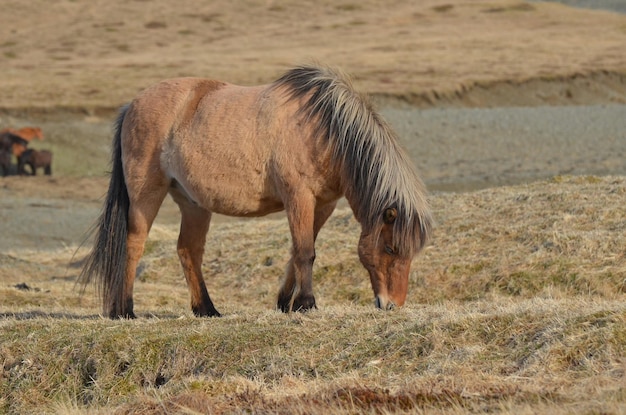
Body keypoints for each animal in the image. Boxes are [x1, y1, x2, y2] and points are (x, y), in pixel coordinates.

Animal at [78, 64, 432, 318]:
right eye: (391, 249)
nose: (392, 304)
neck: (326, 131)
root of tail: (130, 106)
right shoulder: (299, 197)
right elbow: (306, 251)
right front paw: (307, 303)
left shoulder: (323, 205)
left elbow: (298, 250)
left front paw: (285, 302)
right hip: (145, 195)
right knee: (134, 244)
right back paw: (124, 310)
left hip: (193, 203)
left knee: (188, 250)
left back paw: (206, 309)